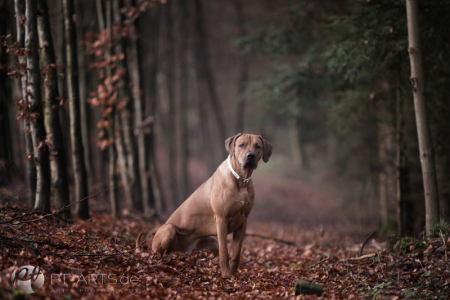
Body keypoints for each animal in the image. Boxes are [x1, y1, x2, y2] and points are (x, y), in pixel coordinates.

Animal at [151, 132, 272, 278]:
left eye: (258, 146)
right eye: (241, 145)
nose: (250, 156)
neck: (241, 180)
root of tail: (182, 252)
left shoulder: (243, 222)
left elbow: (236, 254)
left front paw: (234, 275)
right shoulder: (221, 219)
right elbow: (225, 252)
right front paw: (226, 275)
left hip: (211, 243)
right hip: (168, 230)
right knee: (160, 256)